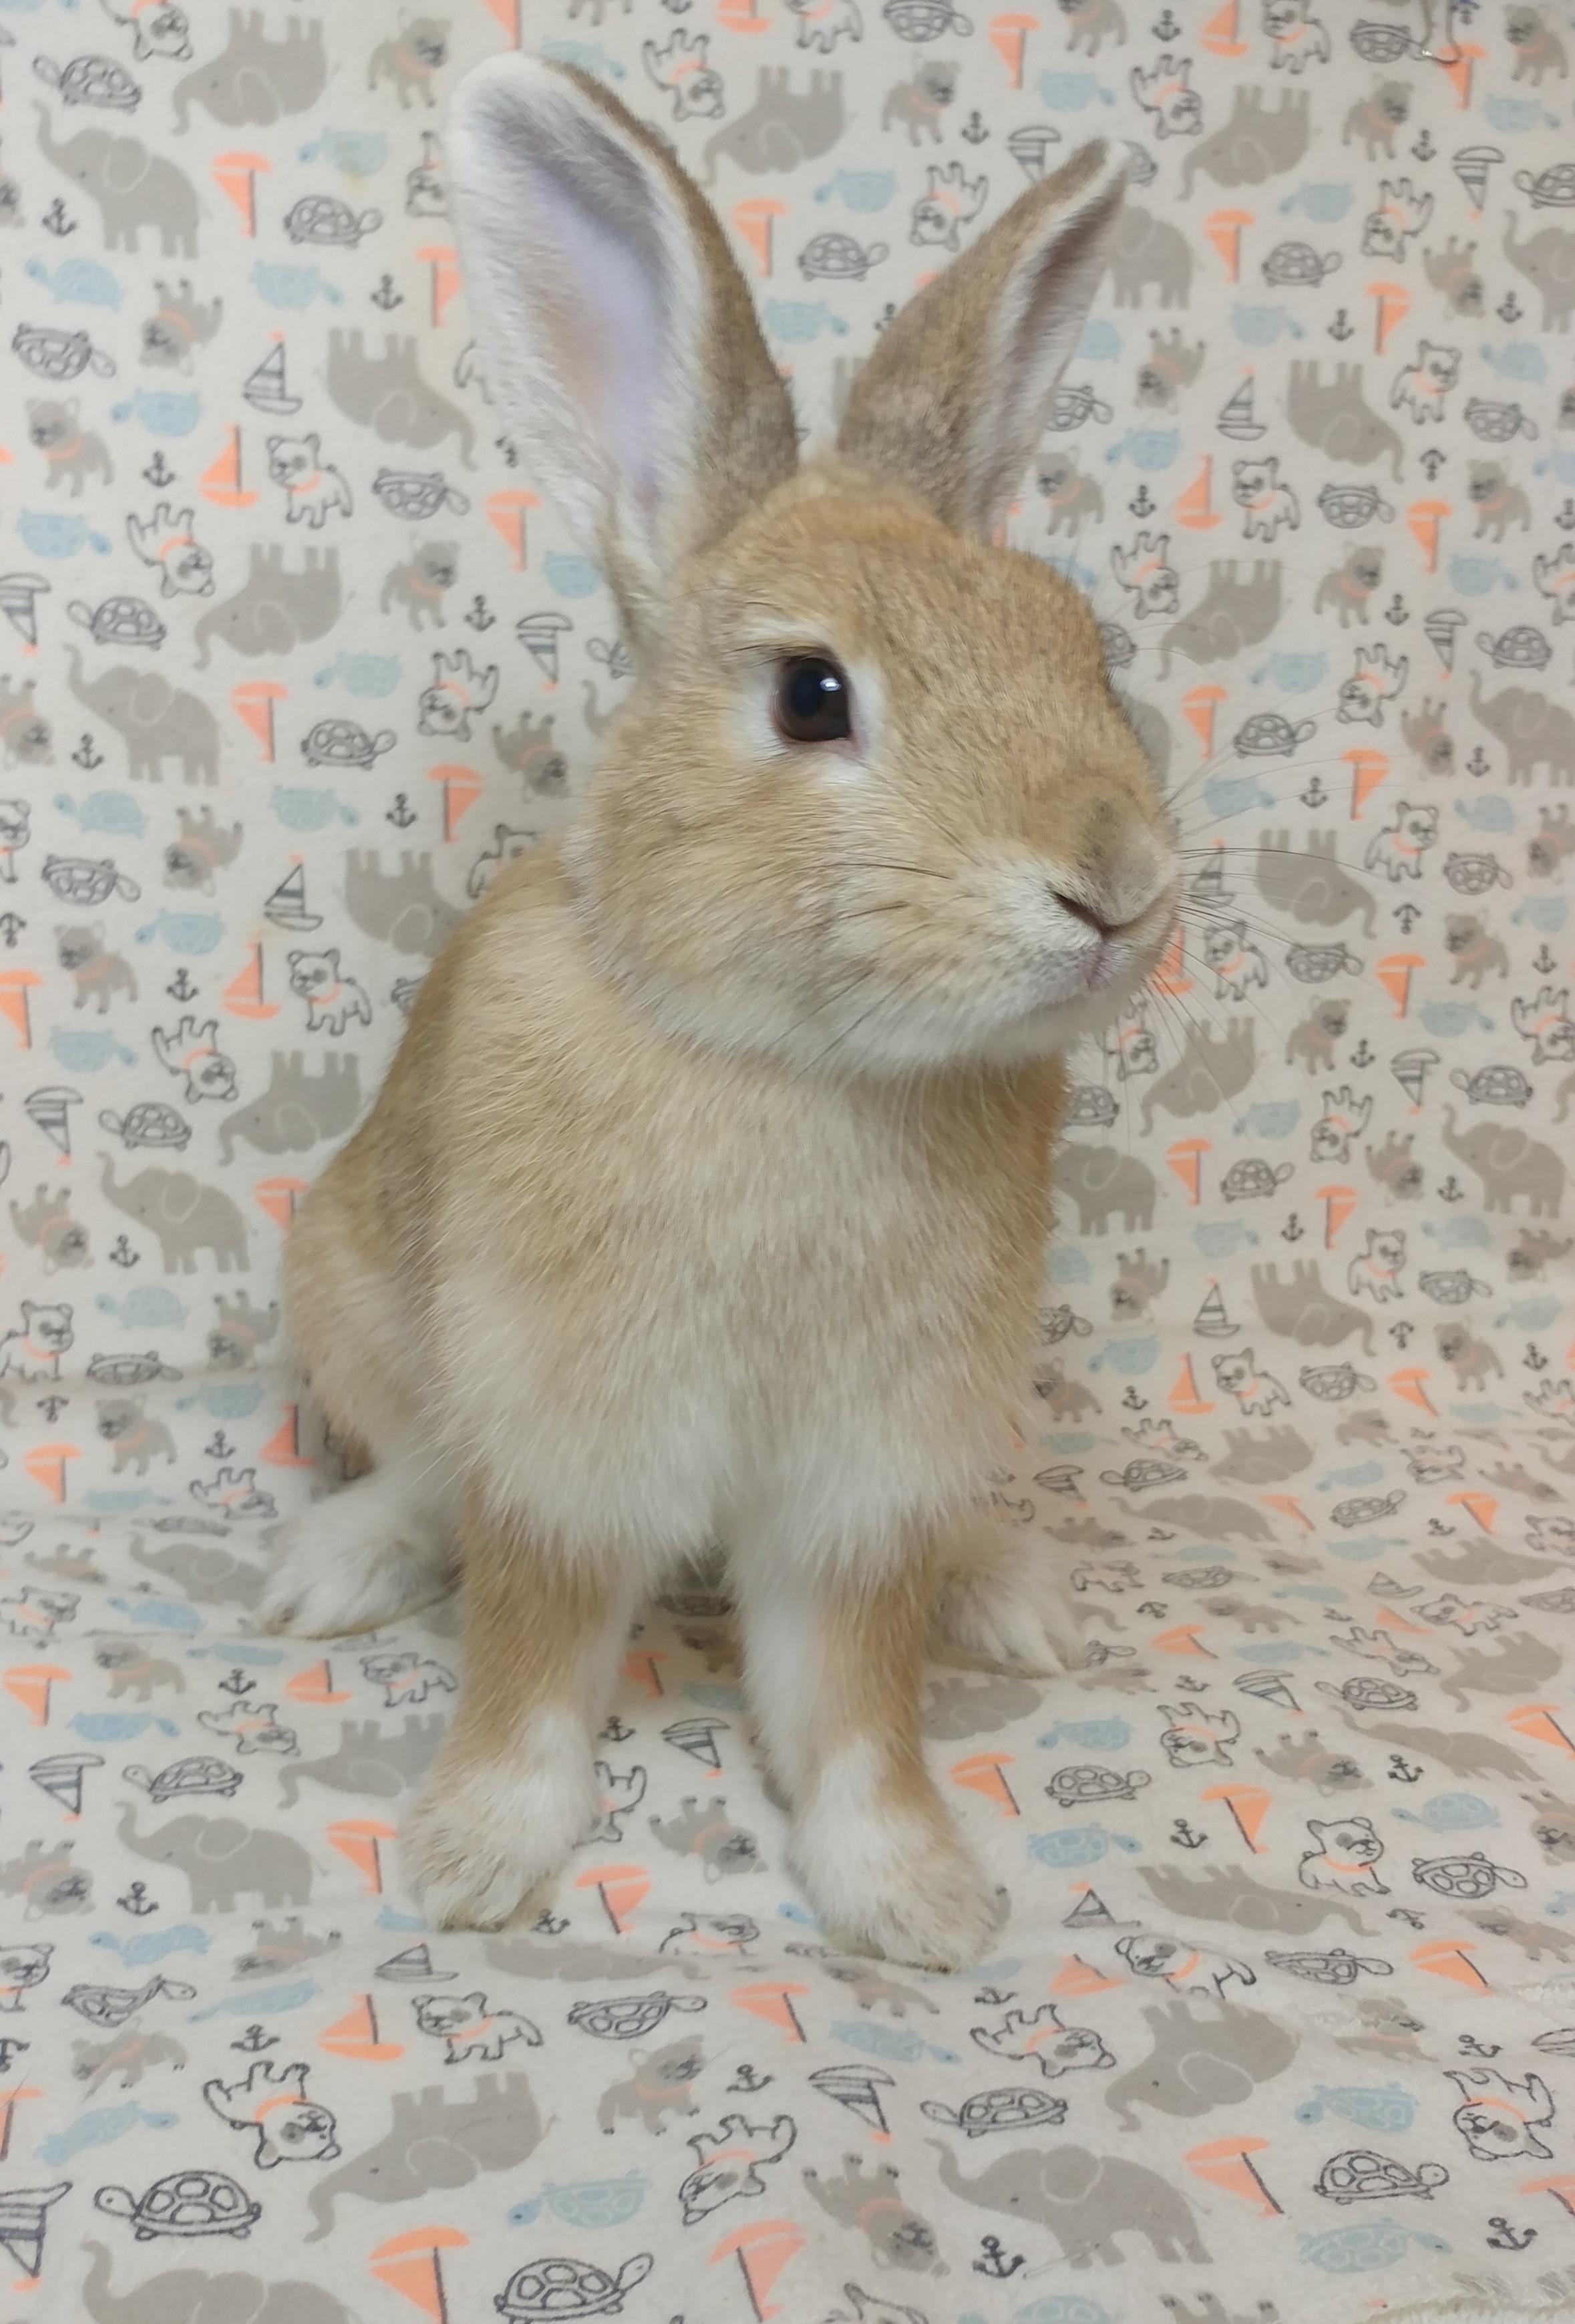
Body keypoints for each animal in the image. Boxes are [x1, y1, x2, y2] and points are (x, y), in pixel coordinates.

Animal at [260, 55, 1177, 1970]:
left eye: (1089, 654)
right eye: (812, 694)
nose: (1116, 884)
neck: (791, 1064)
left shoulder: (868, 1481)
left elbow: (856, 1702)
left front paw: (914, 1897)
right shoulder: (562, 1442)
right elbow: (532, 1655)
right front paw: (477, 1858)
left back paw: (1006, 1592)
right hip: (355, 1297)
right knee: (420, 1476)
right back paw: (332, 1566)